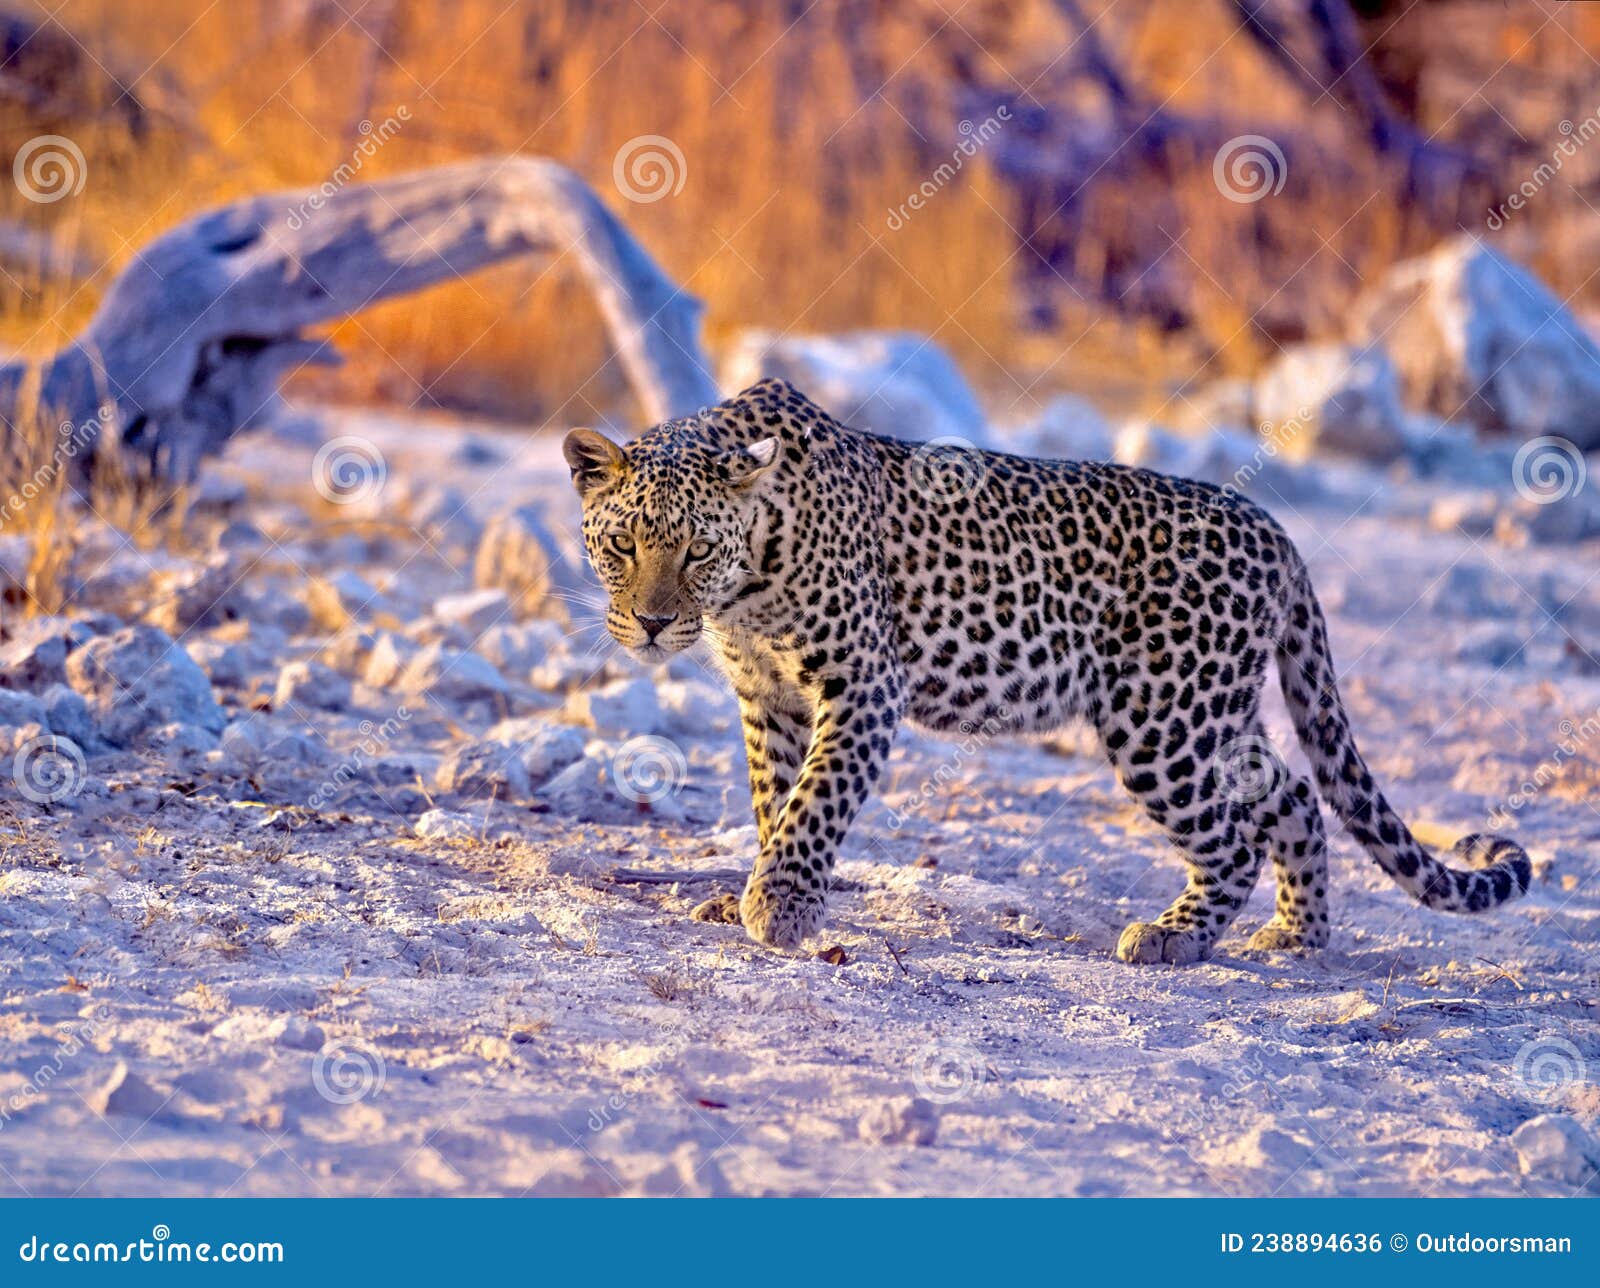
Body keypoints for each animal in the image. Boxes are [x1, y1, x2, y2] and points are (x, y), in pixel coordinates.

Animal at [563, 377, 1523, 960]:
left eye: (695, 551)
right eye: (624, 546)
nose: (652, 624)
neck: (749, 584)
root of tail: (1276, 531)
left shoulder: (863, 684)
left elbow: (815, 801)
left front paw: (783, 907)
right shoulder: (770, 698)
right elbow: (775, 799)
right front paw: (753, 891)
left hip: (1160, 721)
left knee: (1236, 835)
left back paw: (1175, 937)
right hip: (1212, 710)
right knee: (1288, 794)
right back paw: (1298, 934)